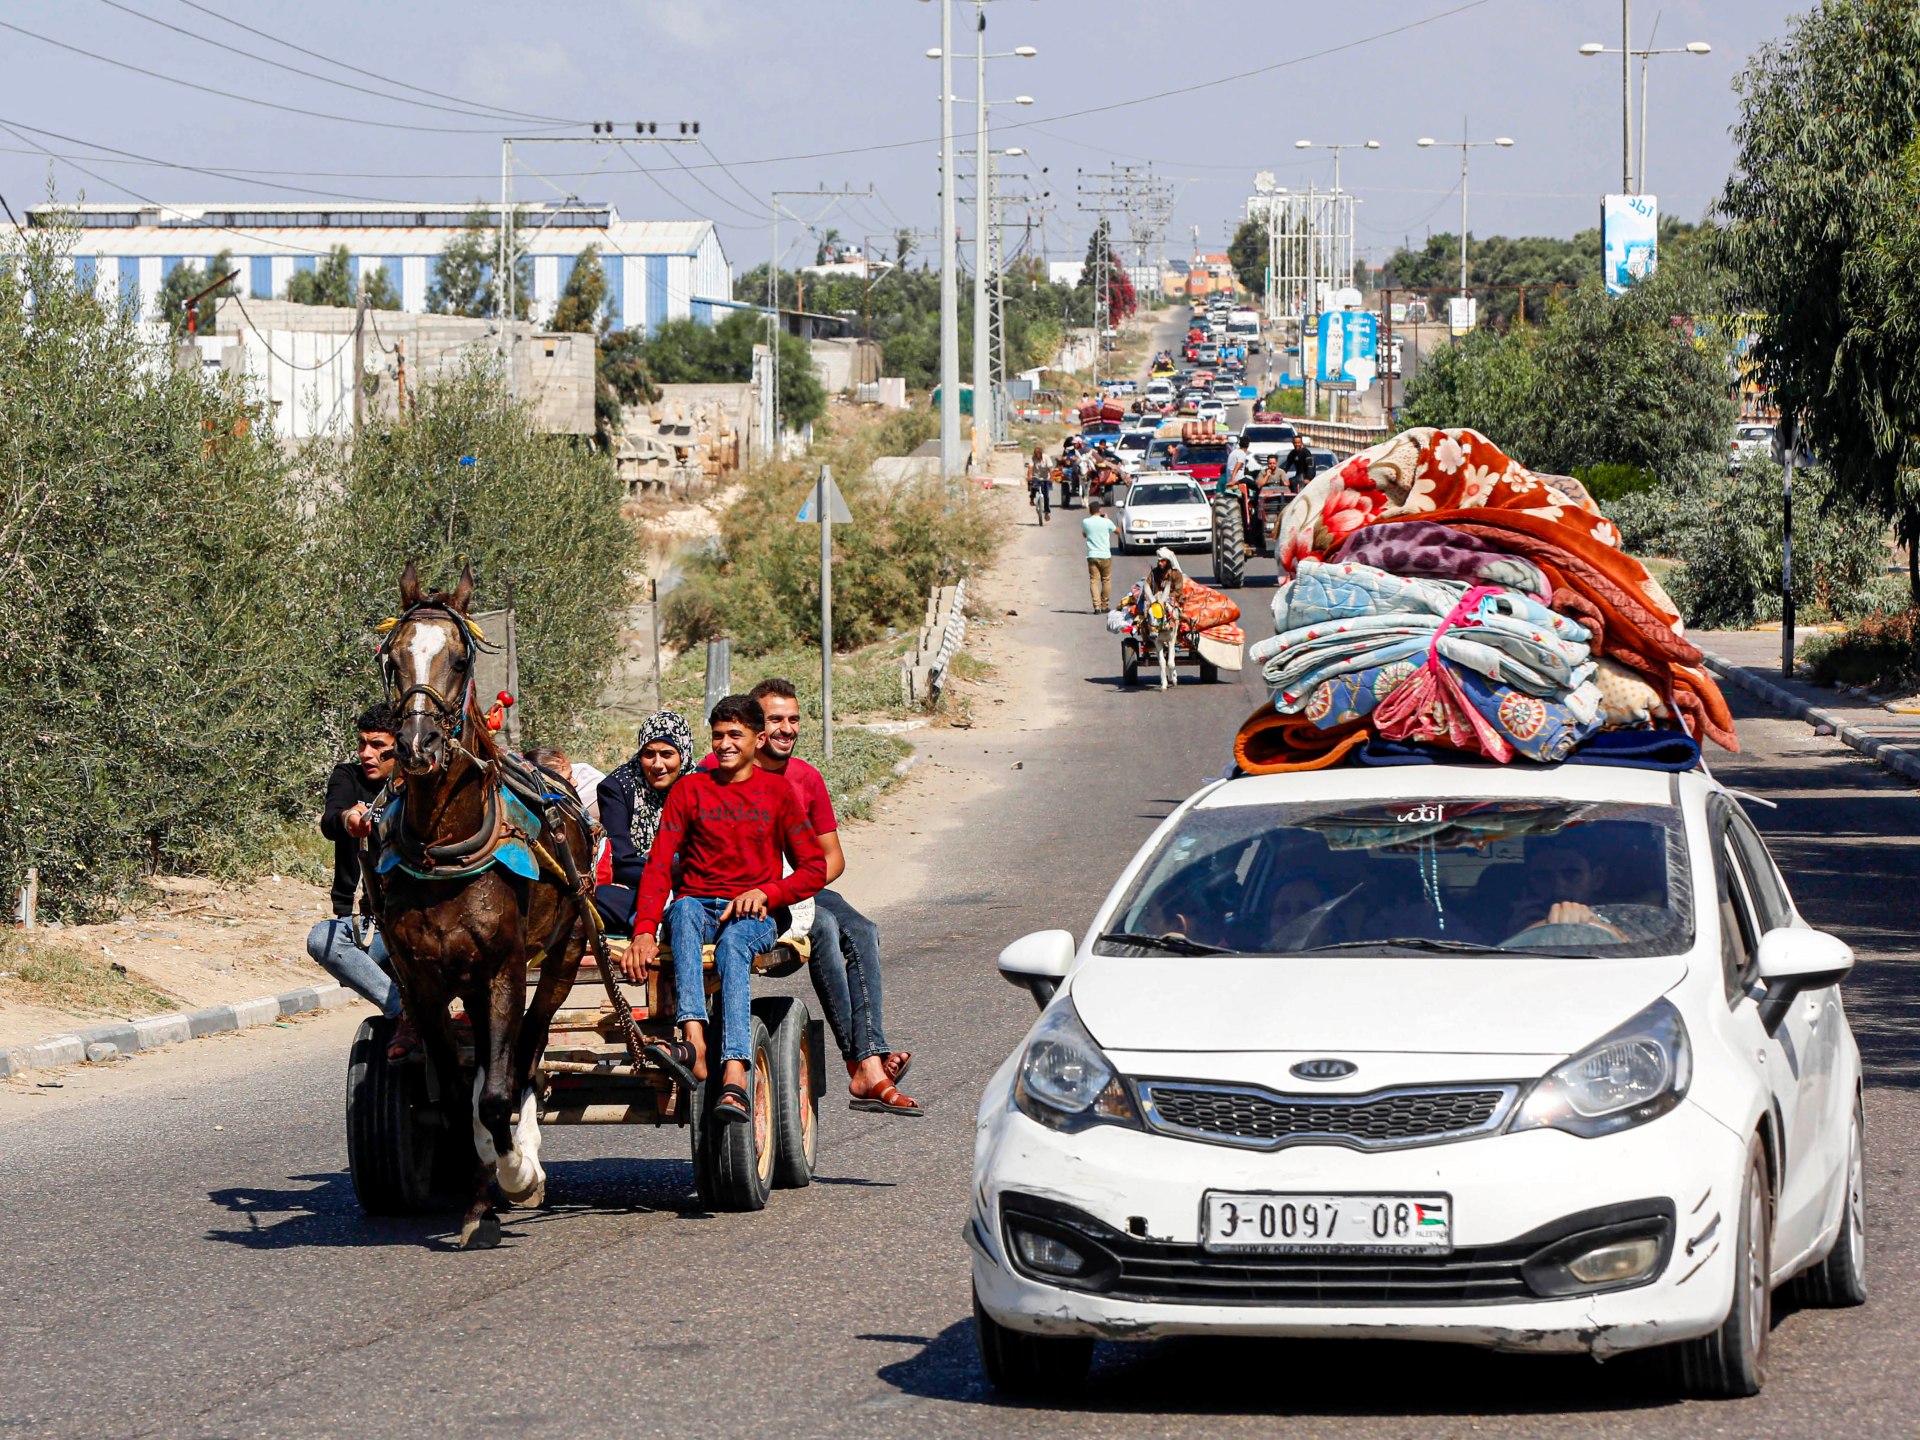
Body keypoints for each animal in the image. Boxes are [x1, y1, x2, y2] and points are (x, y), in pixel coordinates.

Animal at [366, 564, 591, 1251]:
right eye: (391, 657)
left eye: (461, 659)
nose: (416, 745)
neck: (444, 849)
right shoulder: (422, 979)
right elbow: (450, 1095)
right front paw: (476, 1198)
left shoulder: (504, 968)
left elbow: (495, 1093)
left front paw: (515, 1172)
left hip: (565, 954)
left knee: (528, 1054)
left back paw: (524, 1152)